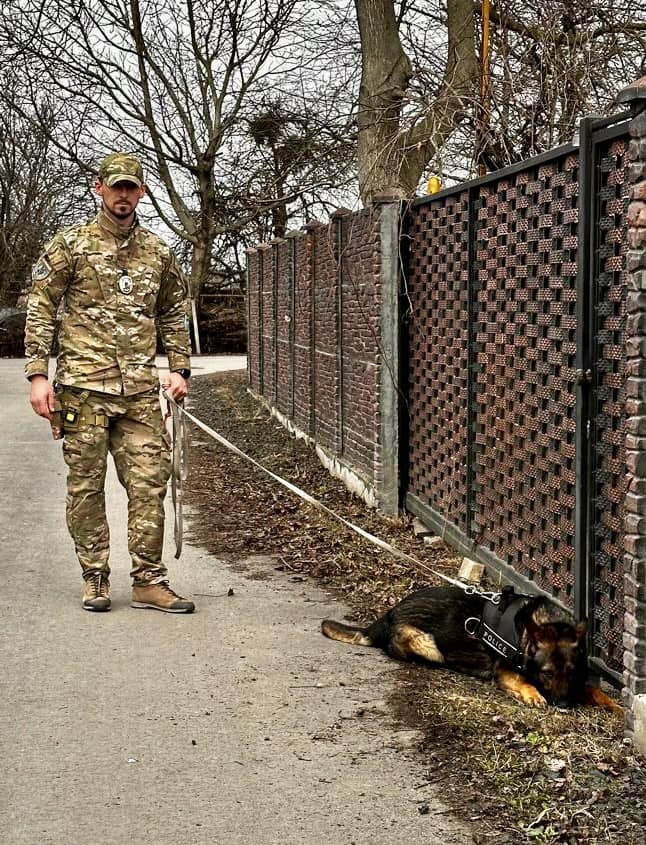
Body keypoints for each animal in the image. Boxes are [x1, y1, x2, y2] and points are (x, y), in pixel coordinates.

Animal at [322, 584, 624, 708]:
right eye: (547, 673)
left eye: (570, 671)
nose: (564, 705)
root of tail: (387, 615)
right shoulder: (505, 671)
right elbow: (523, 681)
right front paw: (533, 694)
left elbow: (596, 692)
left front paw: (615, 707)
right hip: (428, 646)